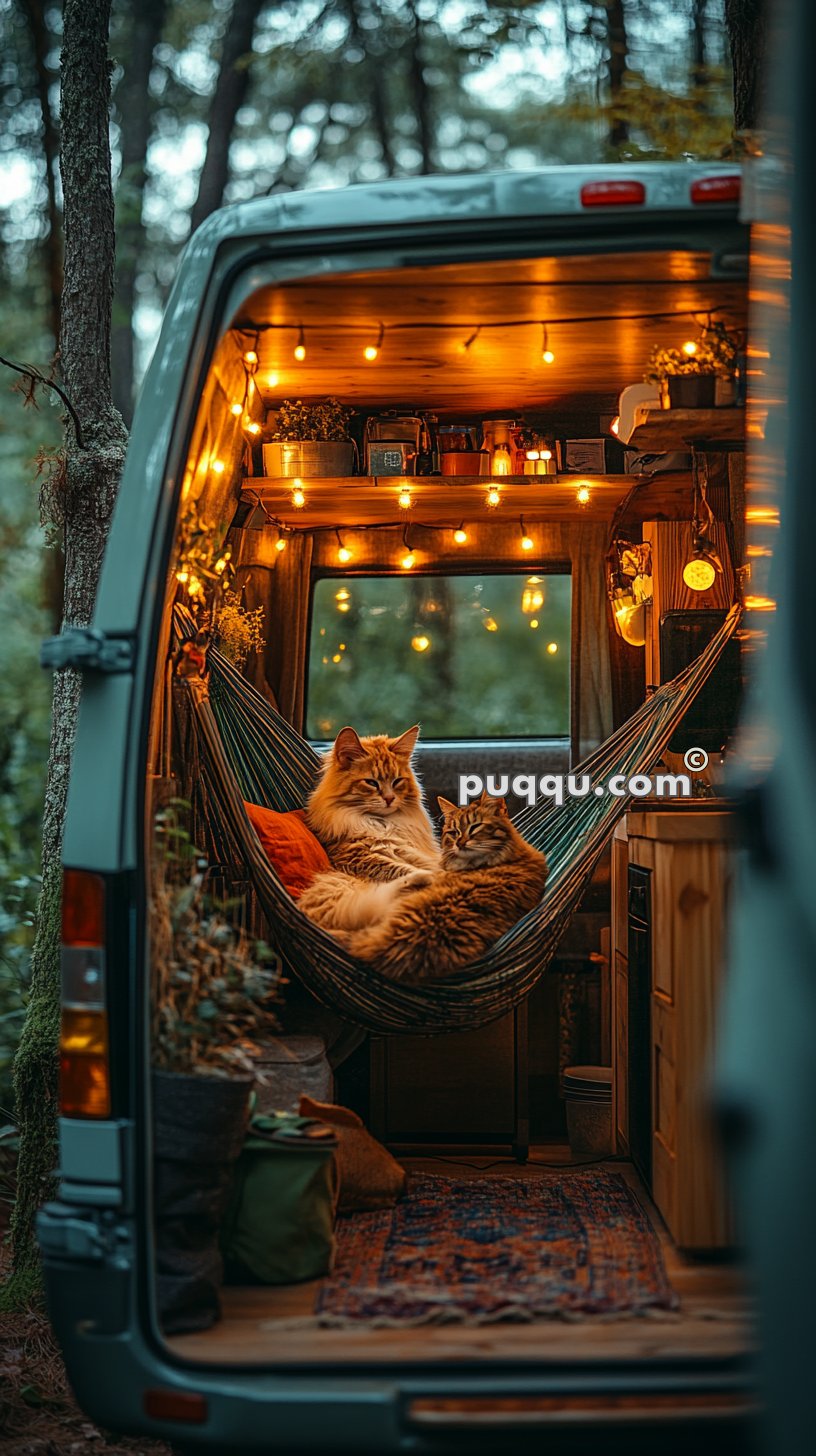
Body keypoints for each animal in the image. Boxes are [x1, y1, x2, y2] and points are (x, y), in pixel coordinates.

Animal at [298, 725, 442, 931]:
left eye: (397, 781)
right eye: (371, 783)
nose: (389, 799)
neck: (382, 823)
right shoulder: (359, 857)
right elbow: (400, 868)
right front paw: (434, 875)